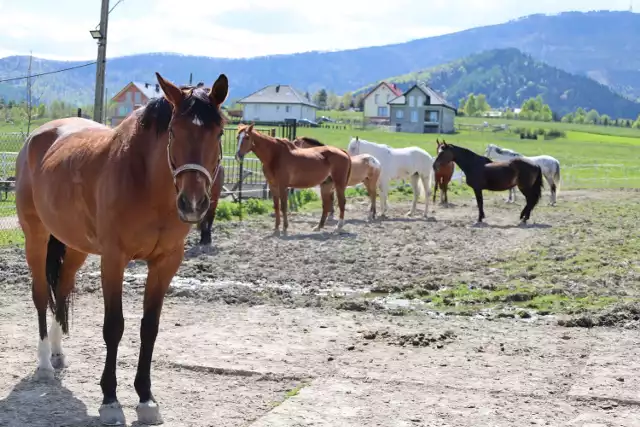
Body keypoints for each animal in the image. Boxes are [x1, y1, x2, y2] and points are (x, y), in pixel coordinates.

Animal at [14, 72, 230, 426]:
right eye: (174, 130)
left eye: (219, 132)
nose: (193, 203)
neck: (146, 182)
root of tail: (37, 137)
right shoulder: (114, 260)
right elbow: (114, 327)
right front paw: (110, 400)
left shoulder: (165, 263)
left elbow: (149, 328)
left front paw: (146, 399)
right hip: (36, 237)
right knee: (41, 294)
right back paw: (45, 363)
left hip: (76, 245)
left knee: (62, 288)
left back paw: (58, 354)